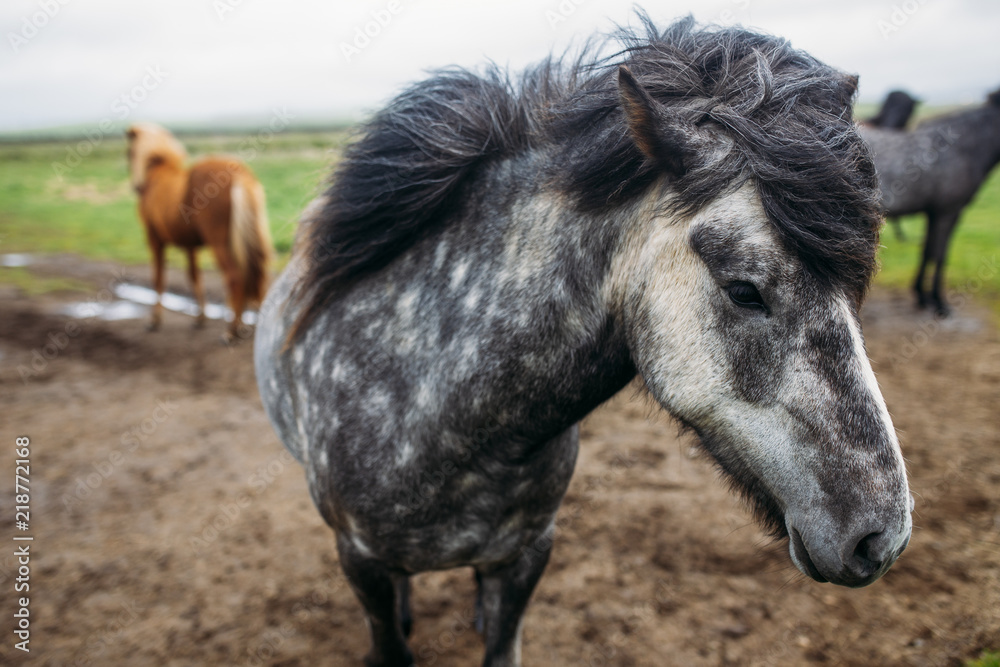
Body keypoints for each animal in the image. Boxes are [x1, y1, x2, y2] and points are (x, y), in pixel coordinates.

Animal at [125, 124, 274, 344]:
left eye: (130, 153)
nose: (136, 186)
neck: (157, 174)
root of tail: (239, 173)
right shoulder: (189, 245)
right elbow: (194, 276)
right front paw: (200, 318)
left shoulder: (155, 240)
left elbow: (158, 278)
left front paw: (154, 320)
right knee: (257, 278)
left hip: (220, 244)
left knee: (235, 278)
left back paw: (231, 330)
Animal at [860, 88, 1000, 316]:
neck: (963, 147)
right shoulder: (948, 212)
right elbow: (940, 254)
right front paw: (938, 301)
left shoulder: (932, 212)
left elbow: (927, 252)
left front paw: (921, 296)